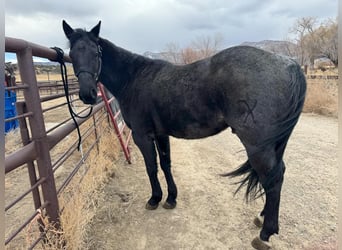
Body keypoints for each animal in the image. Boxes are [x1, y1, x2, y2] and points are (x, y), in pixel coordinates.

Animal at [62, 20, 308, 249]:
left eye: (95, 53)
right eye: (72, 54)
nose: (87, 94)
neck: (133, 78)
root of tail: (289, 64)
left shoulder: (143, 136)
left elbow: (151, 167)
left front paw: (154, 199)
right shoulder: (161, 134)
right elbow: (166, 164)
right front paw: (171, 198)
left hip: (258, 146)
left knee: (273, 179)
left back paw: (265, 234)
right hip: (272, 144)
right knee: (276, 174)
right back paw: (262, 216)